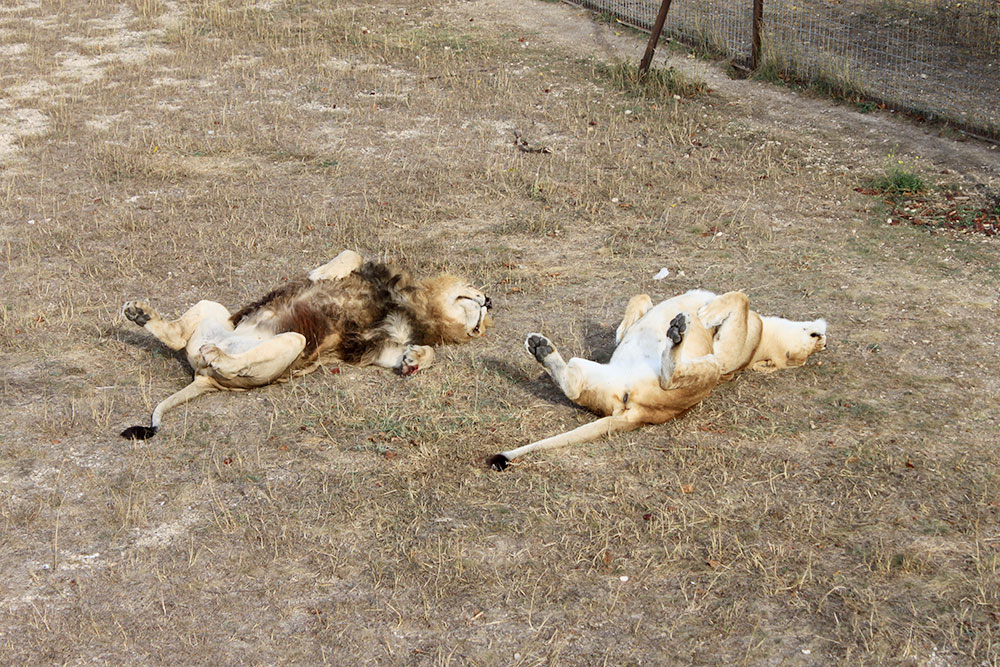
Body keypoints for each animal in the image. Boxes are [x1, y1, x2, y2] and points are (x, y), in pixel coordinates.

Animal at [119, 248, 494, 440]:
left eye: (479, 329)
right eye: (475, 289)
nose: (489, 301)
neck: (415, 303)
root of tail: (201, 376)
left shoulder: (375, 345)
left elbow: (420, 353)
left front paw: (415, 359)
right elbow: (351, 254)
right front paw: (322, 275)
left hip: (291, 344)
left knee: (223, 358)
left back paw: (213, 354)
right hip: (218, 312)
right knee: (178, 335)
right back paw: (140, 313)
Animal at [488, 288, 824, 470]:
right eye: (809, 347)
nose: (822, 338)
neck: (764, 336)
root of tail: (640, 415)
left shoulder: (731, 351)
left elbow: (740, 298)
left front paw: (706, 313)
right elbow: (641, 298)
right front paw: (623, 329)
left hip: (709, 368)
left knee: (671, 376)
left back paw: (678, 331)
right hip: (596, 371)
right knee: (573, 385)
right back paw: (541, 348)